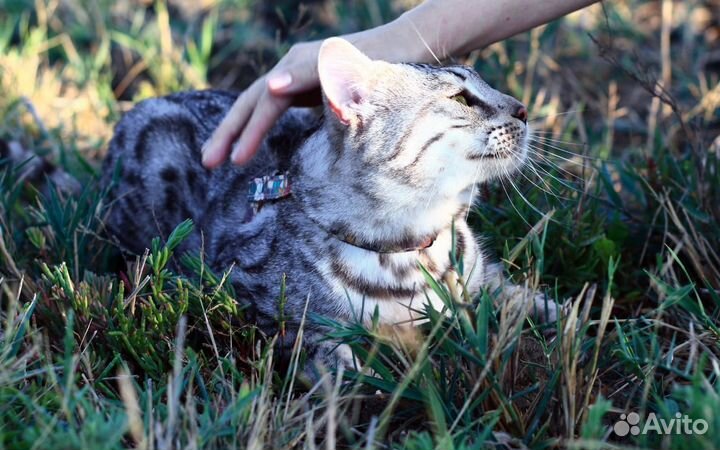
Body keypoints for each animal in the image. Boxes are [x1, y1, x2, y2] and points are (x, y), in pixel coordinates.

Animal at [100, 37, 556, 370]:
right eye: (461, 98)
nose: (523, 109)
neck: (414, 247)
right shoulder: (268, 309)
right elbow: (340, 368)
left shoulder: (484, 279)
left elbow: (525, 297)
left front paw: (564, 314)